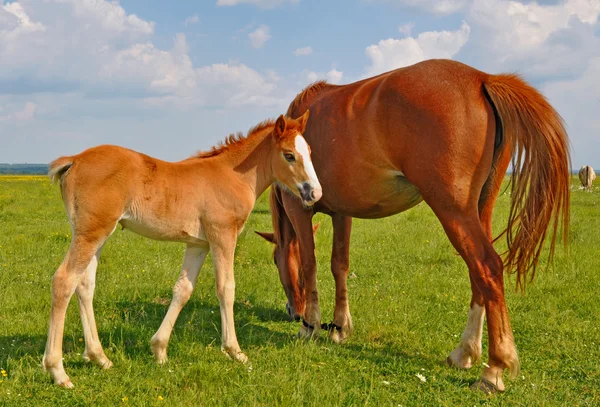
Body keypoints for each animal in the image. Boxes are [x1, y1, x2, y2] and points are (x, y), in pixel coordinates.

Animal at [42, 112, 322, 388]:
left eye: (309, 151)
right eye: (289, 154)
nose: (315, 193)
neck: (232, 176)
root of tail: (74, 160)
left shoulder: (198, 244)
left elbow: (183, 290)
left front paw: (159, 350)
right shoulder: (223, 236)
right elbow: (226, 288)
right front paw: (235, 351)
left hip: (96, 235)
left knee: (84, 285)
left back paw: (99, 357)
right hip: (91, 233)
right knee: (64, 280)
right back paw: (58, 371)